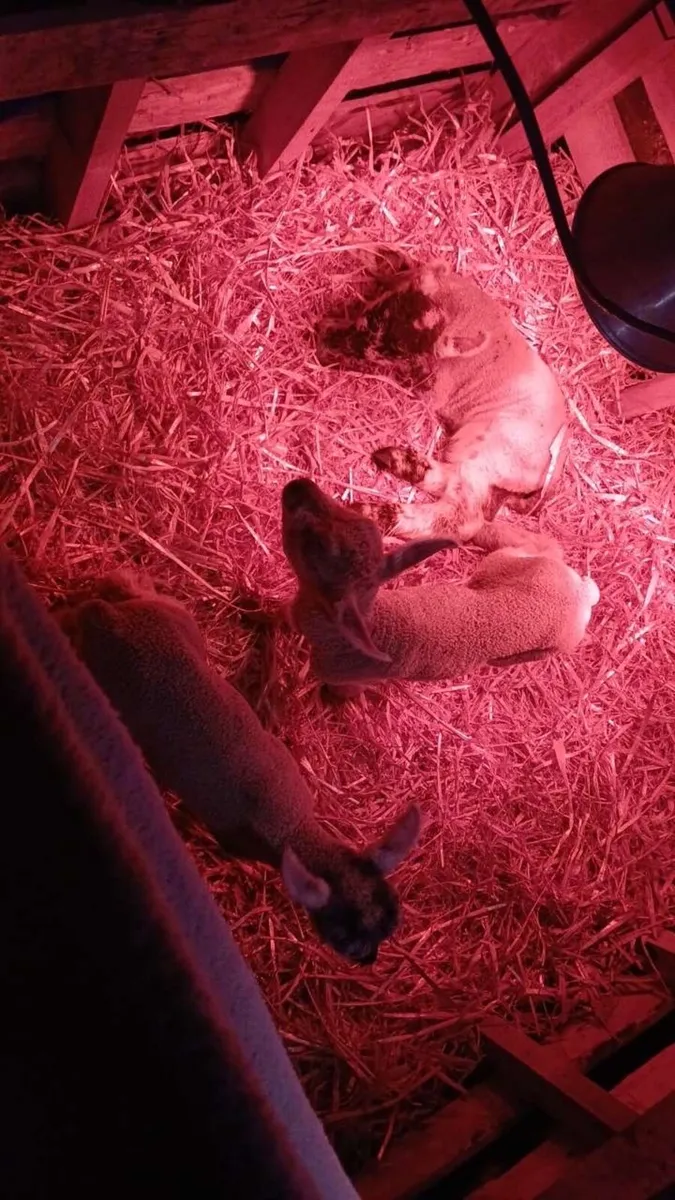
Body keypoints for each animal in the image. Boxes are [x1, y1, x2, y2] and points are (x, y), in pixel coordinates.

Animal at [54, 571, 421, 965]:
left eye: (392, 918)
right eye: (342, 937)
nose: (370, 960)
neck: (292, 824)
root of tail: (109, 620)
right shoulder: (230, 835)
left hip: (169, 618)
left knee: (121, 597)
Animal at [281, 479, 599, 699]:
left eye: (319, 546)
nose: (298, 485)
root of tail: (579, 594)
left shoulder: (345, 678)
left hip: (547, 644)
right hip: (510, 565)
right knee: (541, 549)